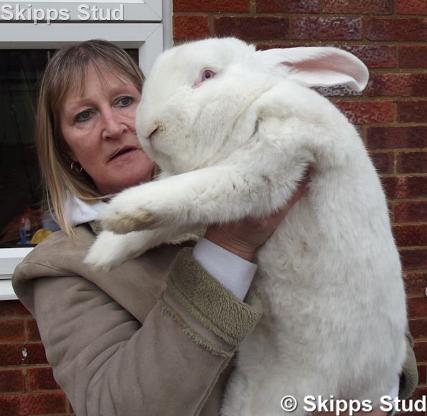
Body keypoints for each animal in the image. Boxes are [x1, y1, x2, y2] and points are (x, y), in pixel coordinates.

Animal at [84, 37, 408, 414]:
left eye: (208, 75)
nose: (149, 130)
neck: (251, 103)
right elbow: (167, 219)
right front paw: (103, 254)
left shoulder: (263, 169)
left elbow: (190, 189)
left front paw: (120, 211)